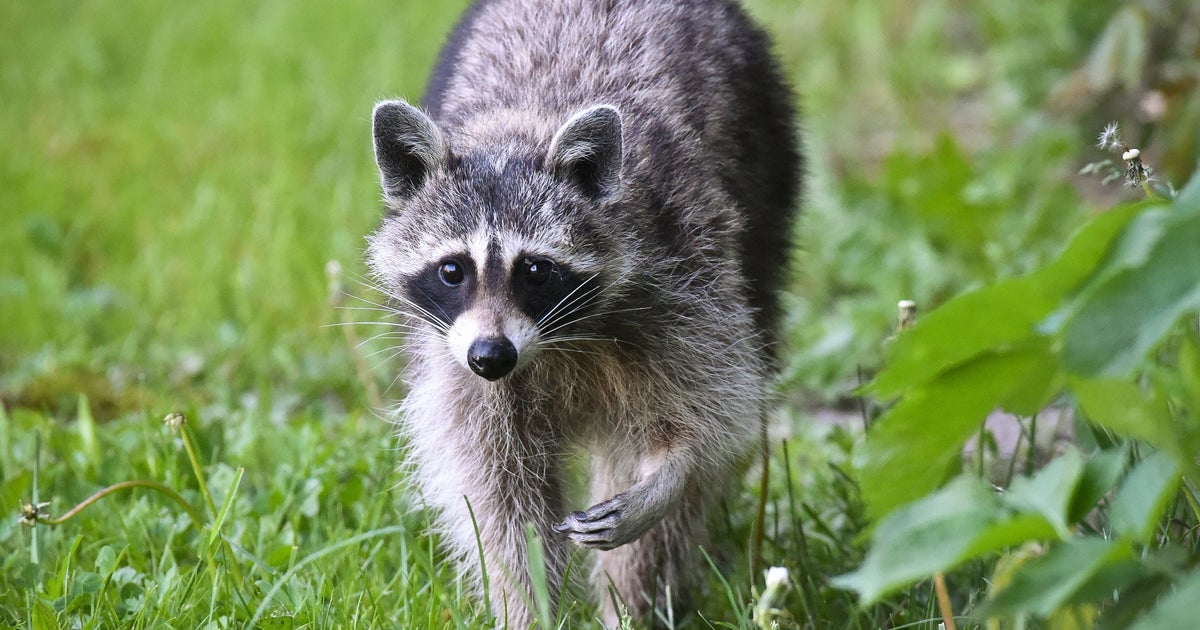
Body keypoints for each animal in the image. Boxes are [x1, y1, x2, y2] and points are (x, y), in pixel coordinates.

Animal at [366, 0, 800, 626]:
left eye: (535, 270)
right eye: (453, 270)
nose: (491, 356)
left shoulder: (686, 268)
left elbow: (715, 410)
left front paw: (673, 467)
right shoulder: (456, 362)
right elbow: (497, 495)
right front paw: (528, 606)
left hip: (767, 169)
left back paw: (635, 601)